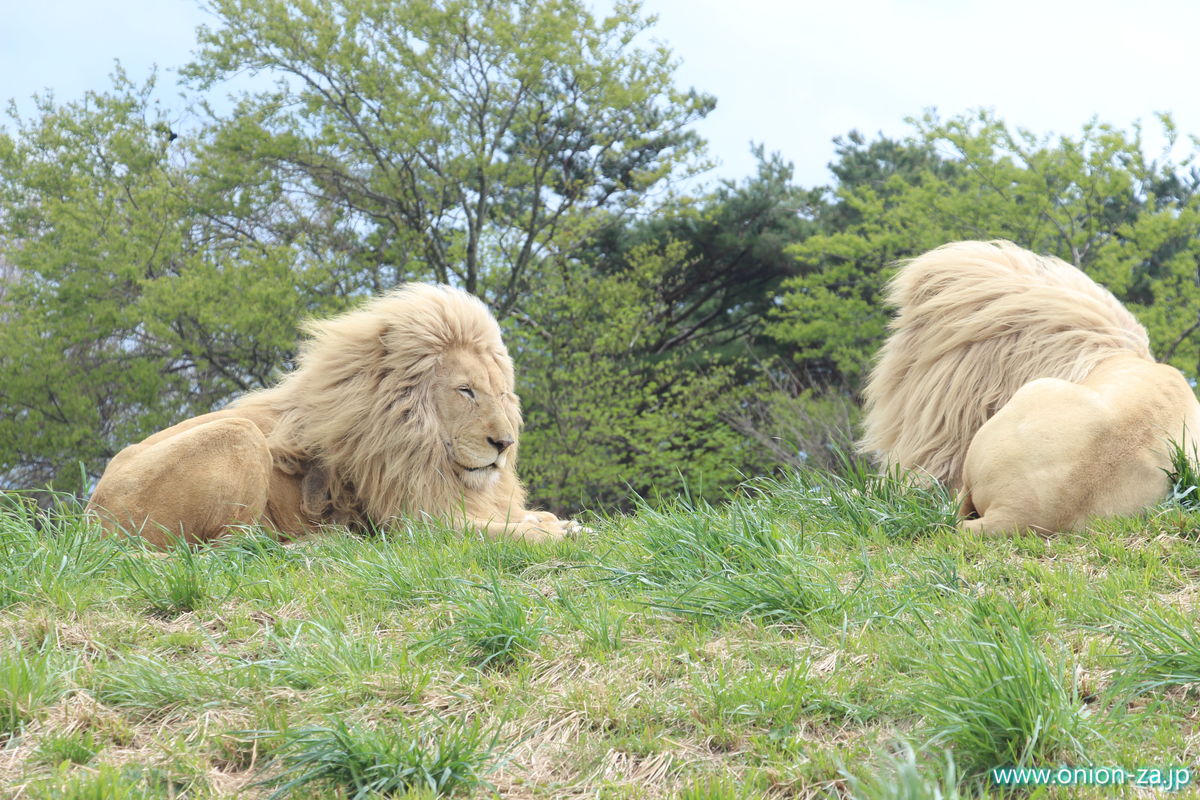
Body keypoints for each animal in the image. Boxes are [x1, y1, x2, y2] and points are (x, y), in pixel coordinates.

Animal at [87, 284, 578, 546]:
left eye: (501, 394)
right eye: (465, 391)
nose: (504, 444)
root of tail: (92, 519)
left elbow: (517, 519)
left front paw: (553, 521)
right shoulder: (414, 523)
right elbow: (497, 533)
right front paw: (559, 534)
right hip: (238, 433)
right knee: (227, 549)